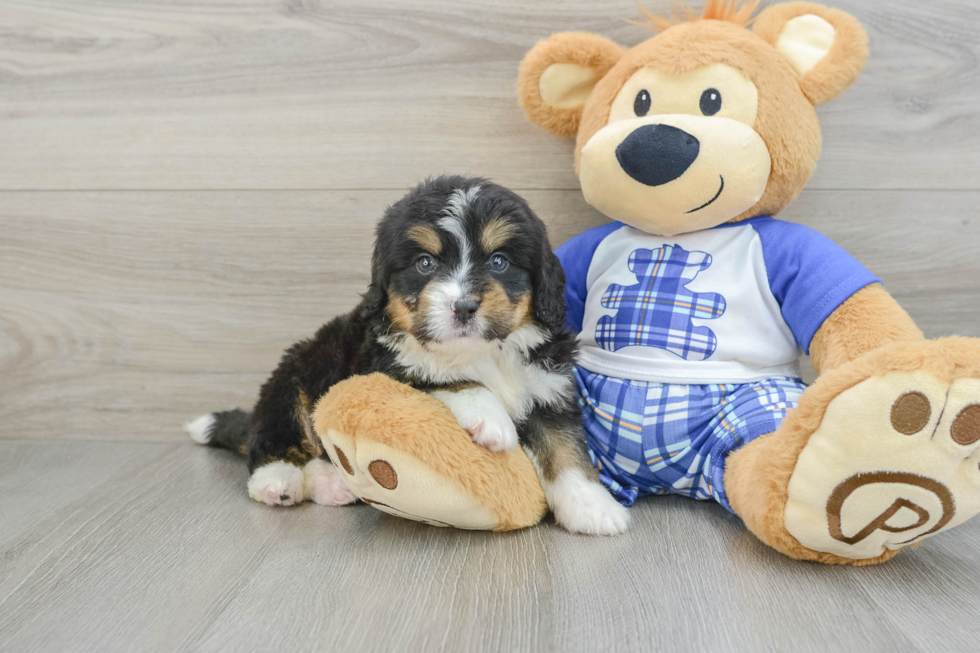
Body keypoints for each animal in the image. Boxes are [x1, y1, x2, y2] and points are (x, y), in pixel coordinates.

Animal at [186, 174, 628, 536]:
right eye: (425, 262)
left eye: (500, 261)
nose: (464, 306)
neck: (484, 352)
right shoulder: (384, 365)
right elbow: (451, 377)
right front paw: (492, 420)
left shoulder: (548, 387)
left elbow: (566, 450)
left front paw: (593, 507)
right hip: (297, 374)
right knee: (274, 437)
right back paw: (278, 481)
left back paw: (332, 484)